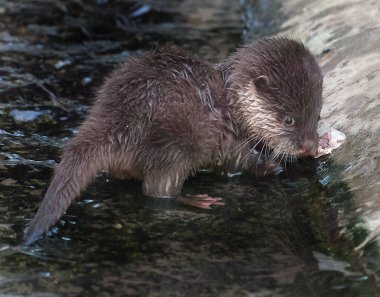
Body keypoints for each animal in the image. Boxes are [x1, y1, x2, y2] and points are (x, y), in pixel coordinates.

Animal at [23, 36, 322, 243]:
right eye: (289, 119)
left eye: (317, 116)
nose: (308, 146)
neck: (230, 103)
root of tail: (119, 118)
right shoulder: (228, 136)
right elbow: (238, 163)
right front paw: (276, 167)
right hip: (175, 147)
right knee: (157, 189)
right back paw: (195, 201)